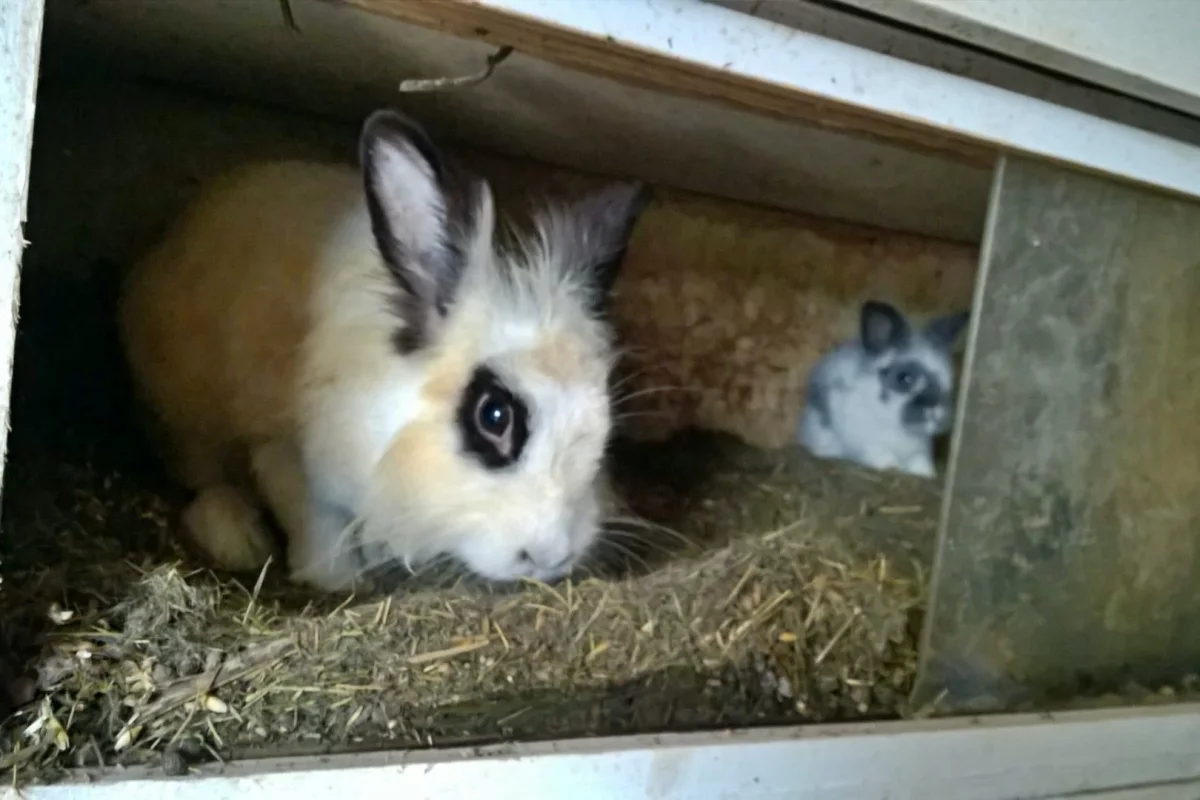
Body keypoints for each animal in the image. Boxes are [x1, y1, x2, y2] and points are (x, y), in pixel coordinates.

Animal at [117, 107, 652, 594]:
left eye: (604, 427)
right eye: (494, 416)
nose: (551, 556)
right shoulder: (283, 447)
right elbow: (312, 516)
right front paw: (335, 579)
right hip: (183, 410)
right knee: (202, 477)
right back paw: (237, 538)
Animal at [796, 298, 974, 474]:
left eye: (949, 379)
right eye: (904, 378)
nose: (935, 412)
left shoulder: (920, 451)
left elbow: (919, 462)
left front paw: (925, 473)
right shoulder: (865, 443)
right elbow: (879, 455)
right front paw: (891, 465)